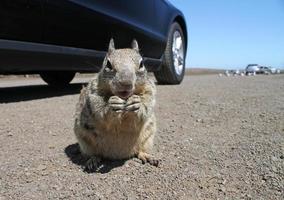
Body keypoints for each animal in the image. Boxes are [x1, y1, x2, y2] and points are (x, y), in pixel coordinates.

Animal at [73, 38, 158, 170]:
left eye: (141, 64)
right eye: (108, 64)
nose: (126, 83)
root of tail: (117, 155)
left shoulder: (150, 90)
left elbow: (147, 104)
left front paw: (137, 103)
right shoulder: (93, 93)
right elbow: (98, 108)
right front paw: (111, 105)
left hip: (148, 138)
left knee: (139, 151)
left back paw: (147, 156)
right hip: (84, 141)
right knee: (94, 153)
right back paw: (93, 160)